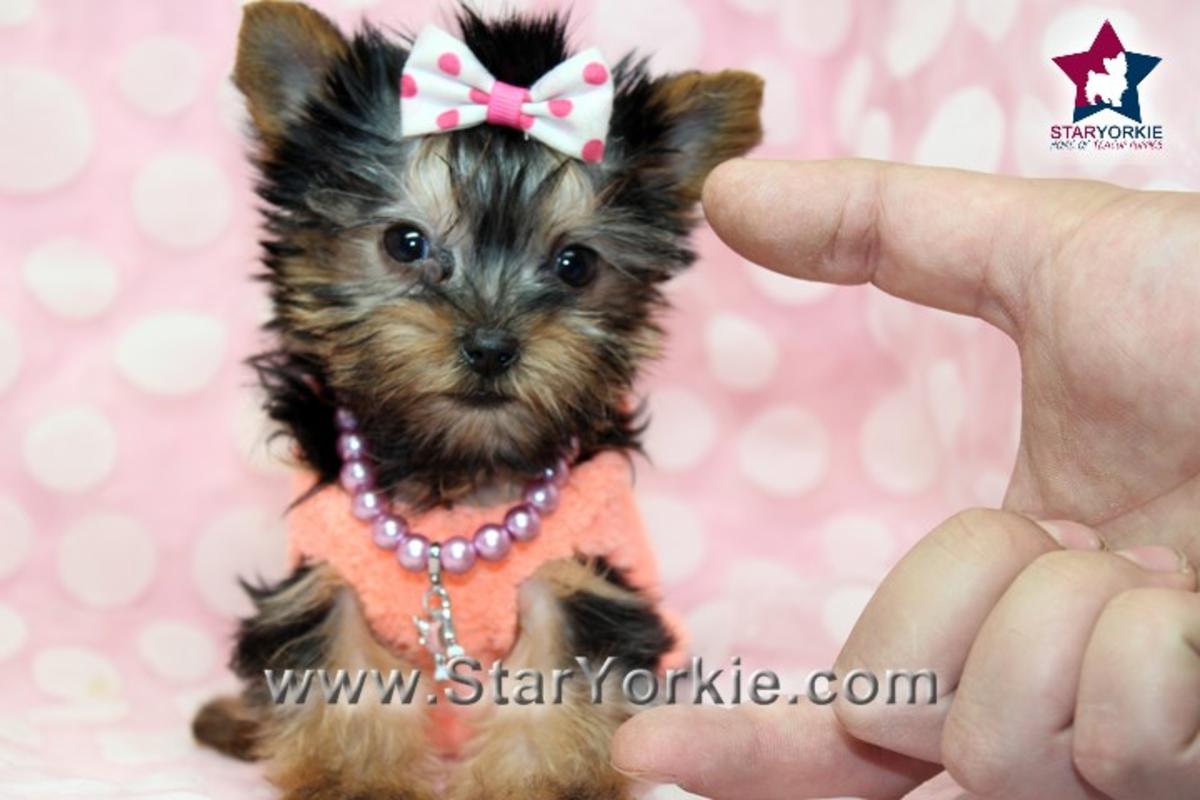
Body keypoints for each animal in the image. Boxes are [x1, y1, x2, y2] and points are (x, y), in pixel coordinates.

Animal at [194, 3, 758, 796]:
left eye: (575, 263)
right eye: (405, 243)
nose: (491, 347)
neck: (456, 472)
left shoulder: (576, 577)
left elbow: (555, 685)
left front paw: (542, 784)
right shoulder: (332, 575)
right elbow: (341, 671)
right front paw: (358, 782)